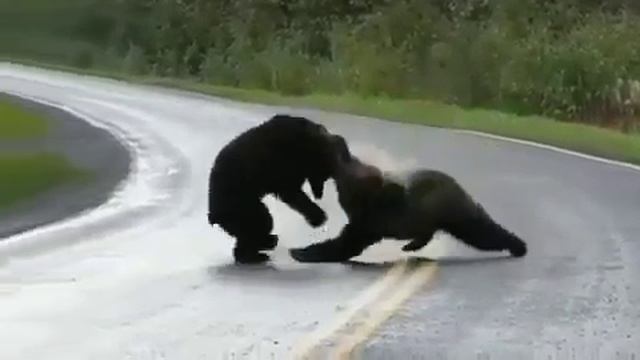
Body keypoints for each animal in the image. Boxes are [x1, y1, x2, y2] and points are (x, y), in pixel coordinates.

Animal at [209, 114, 350, 262]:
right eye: (322, 175)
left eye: (326, 177)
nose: (319, 194)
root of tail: (213, 215)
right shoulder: (281, 163)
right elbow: (291, 192)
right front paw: (318, 217)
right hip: (240, 204)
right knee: (260, 222)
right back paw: (258, 252)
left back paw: (264, 245)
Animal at [288, 150, 528, 262]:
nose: (344, 155)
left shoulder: (369, 221)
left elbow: (345, 244)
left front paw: (300, 252)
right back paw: (411, 245)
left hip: (451, 210)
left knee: (481, 232)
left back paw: (517, 245)